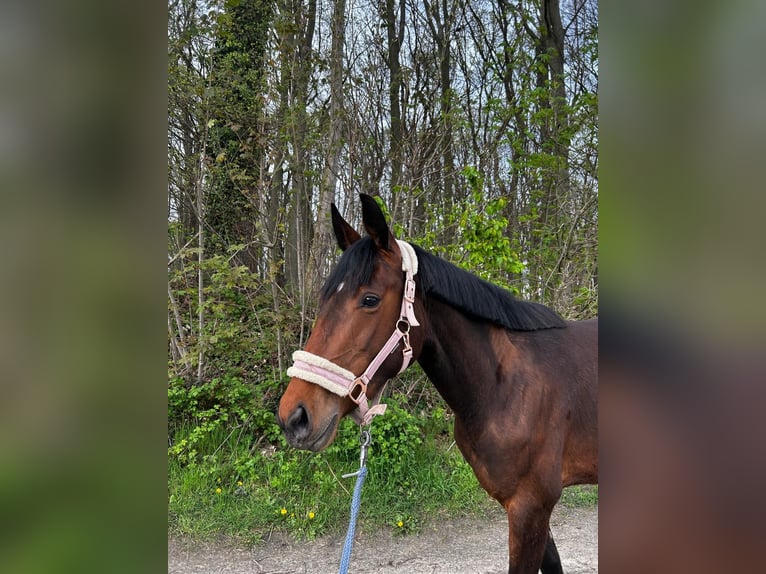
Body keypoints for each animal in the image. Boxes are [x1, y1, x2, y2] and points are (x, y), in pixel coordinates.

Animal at [278, 196, 600, 572]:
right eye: (324, 299)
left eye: (370, 300)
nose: (295, 417)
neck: (504, 386)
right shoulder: (529, 510)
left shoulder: (531, 507)